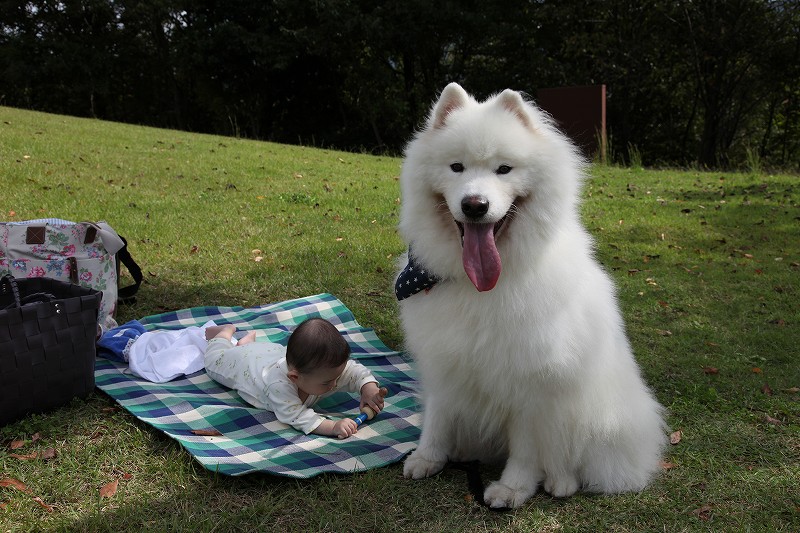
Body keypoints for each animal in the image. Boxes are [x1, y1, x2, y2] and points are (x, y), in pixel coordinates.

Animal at [396, 82, 664, 508]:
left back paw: (560, 481)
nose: (475, 205)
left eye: (504, 169)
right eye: (456, 167)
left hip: (596, 420)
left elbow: (526, 448)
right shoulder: (445, 358)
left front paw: (513, 487)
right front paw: (428, 456)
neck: (480, 286)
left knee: (570, 461)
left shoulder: (531, 384)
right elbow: (438, 415)